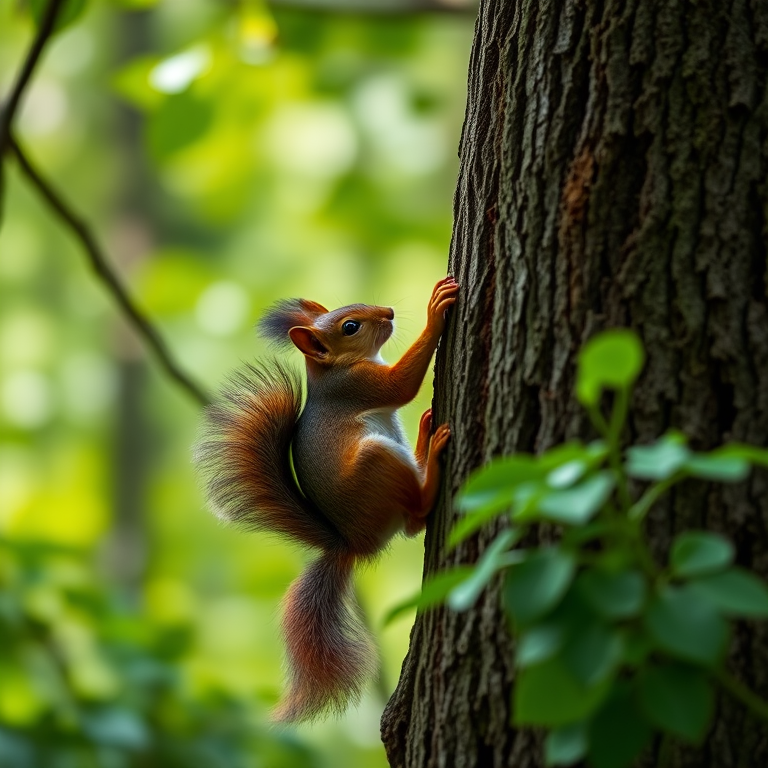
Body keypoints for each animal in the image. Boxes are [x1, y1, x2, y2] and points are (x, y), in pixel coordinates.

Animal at [193, 276, 459, 723]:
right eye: (350, 327)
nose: (389, 312)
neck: (332, 369)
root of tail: (355, 542)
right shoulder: (357, 385)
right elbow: (400, 386)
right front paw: (435, 309)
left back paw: (425, 437)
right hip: (377, 462)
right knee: (416, 519)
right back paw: (435, 457)